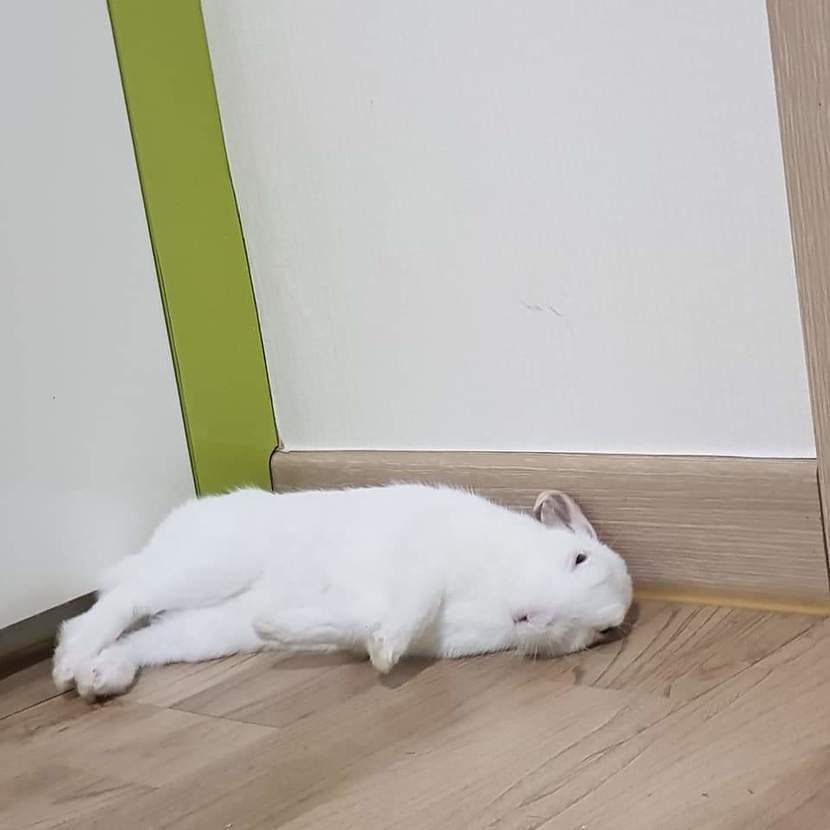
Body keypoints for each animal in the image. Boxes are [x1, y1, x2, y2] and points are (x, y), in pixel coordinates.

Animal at [52, 484, 633, 700]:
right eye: (577, 558)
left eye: (602, 629)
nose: (532, 618)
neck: (497, 591)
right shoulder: (424, 559)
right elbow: (417, 596)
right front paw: (386, 654)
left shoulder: (365, 611)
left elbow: (357, 623)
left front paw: (282, 628)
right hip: (212, 565)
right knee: (119, 601)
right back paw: (69, 662)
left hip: (208, 629)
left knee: (143, 636)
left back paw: (100, 676)